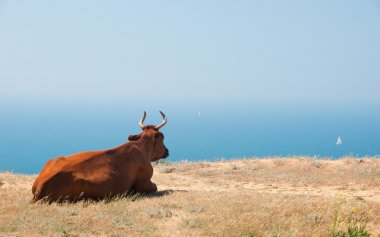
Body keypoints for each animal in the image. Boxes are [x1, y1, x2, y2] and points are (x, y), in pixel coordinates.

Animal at [31, 112, 168, 203]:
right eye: (162, 137)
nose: (167, 151)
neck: (142, 149)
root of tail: (40, 185)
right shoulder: (143, 183)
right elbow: (155, 187)